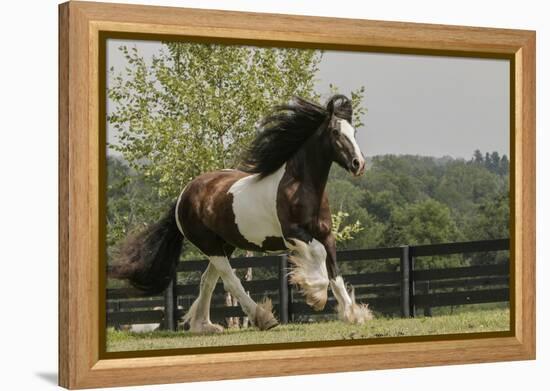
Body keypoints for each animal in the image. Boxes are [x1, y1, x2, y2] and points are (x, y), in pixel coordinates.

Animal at [113, 95, 376, 334]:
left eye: (353, 131)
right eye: (335, 132)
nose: (359, 164)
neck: (300, 187)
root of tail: (183, 196)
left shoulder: (326, 234)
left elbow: (335, 273)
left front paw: (354, 315)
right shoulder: (294, 234)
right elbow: (320, 260)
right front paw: (315, 294)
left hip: (224, 245)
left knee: (208, 280)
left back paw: (204, 326)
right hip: (210, 246)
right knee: (230, 281)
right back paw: (263, 319)